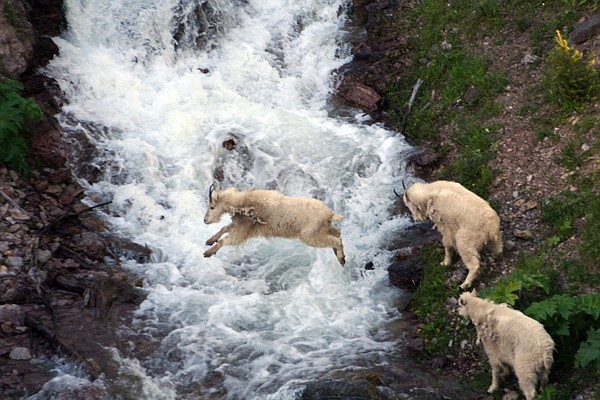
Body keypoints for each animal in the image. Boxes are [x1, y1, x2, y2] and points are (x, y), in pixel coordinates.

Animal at [202, 184, 344, 266]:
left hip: (310, 235)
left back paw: (342, 259)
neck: (243, 204)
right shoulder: (240, 225)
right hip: (323, 229)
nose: (205, 220)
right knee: (337, 232)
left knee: (335, 240)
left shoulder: (244, 231)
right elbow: (224, 228)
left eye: (212, 206)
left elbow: (226, 240)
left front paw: (208, 252)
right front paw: (209, 241)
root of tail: (329, 214)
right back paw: (339, 255)